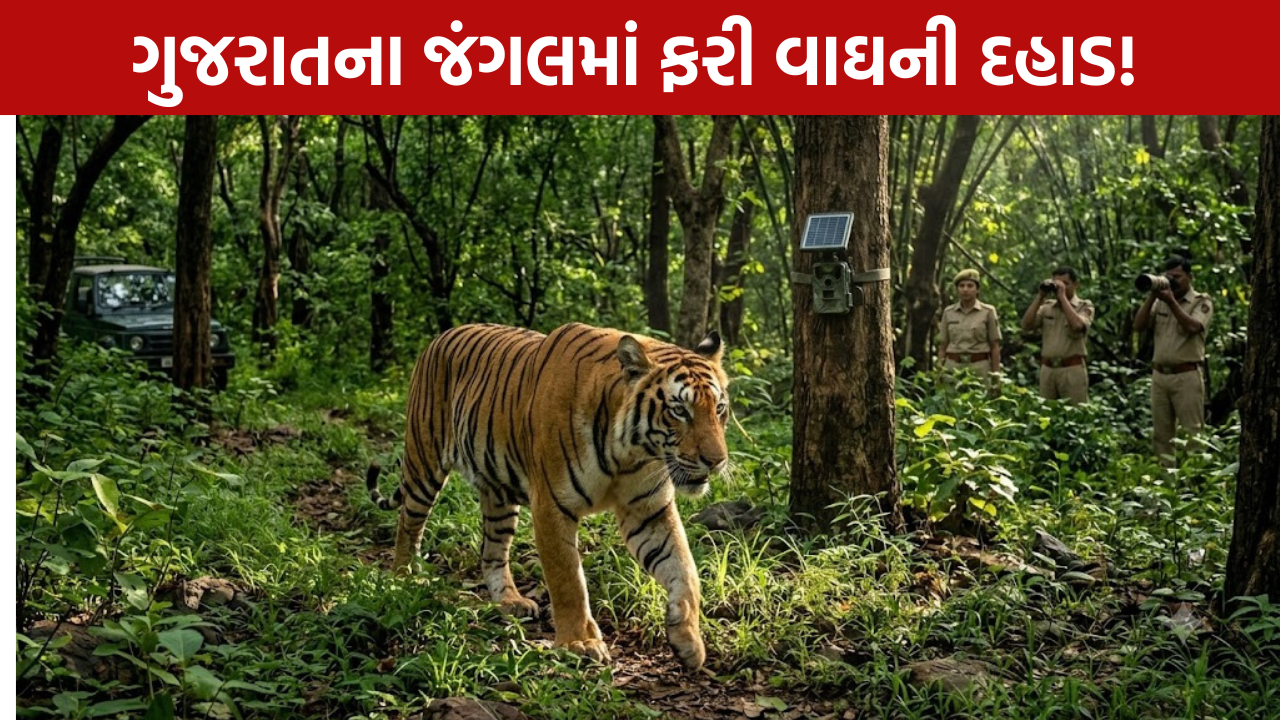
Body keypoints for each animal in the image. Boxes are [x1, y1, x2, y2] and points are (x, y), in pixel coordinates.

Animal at [366, 322, 730, 670]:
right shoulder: (553, 505)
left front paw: (688, 640)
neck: (630, 454)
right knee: (408, 522)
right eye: (679, 410)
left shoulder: (649, 510)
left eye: (720, 408)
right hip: (423, 462)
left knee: (492, 551)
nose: (716, 461)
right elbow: (567, 579)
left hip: (499, 494)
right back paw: (403, 580)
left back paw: (509, 601)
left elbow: (684, 568)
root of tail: (442, 335)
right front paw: (579, 643)